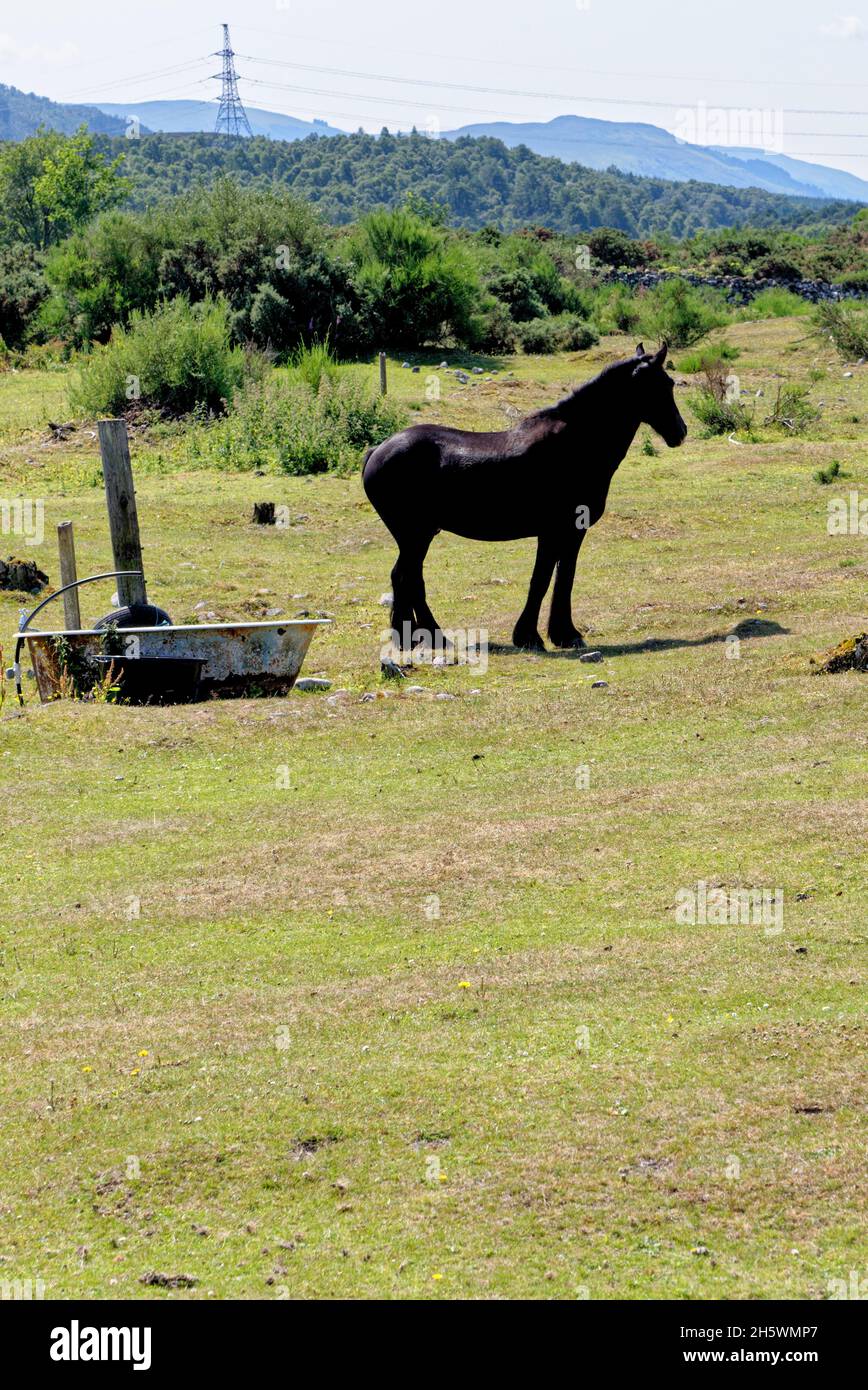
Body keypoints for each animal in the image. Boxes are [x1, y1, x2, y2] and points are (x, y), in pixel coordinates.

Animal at [358, 344, 684, 653]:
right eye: (664, 384)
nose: (680, 432)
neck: (576, 443)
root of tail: (378, 450)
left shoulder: (570, 533)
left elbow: (563, 578)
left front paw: (562, 634)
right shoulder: (554, 531)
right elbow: (542, 580)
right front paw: (532, 636)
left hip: (417, 536)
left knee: (407, 578)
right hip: (415, 535)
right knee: (407, 577)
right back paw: (430, 637)